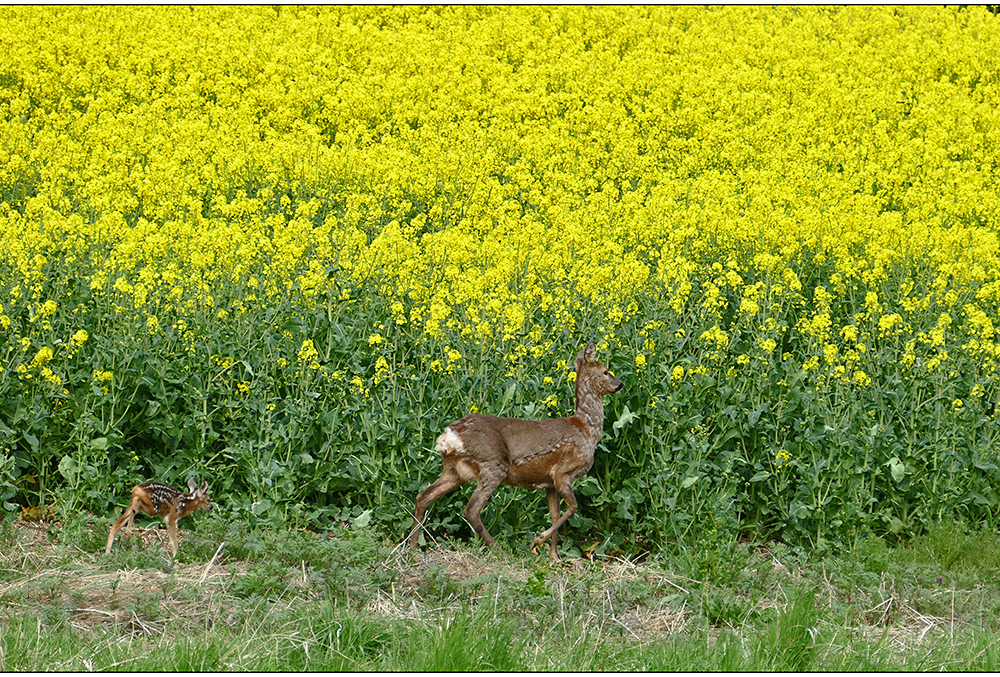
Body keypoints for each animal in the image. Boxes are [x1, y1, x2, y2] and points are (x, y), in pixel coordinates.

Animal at [410, 340, 620, 556]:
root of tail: (450, 436)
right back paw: (499, 550)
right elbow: (573, 507)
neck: (586, 429)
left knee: (423, 496)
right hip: (492, 464)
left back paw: (412, 547)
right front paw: (537, 541)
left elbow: (555, 514)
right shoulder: (562, 472)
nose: (620, 385)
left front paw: (554, 556)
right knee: (471, 510)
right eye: (606, 371)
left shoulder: (549, 483)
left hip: (455, 471)